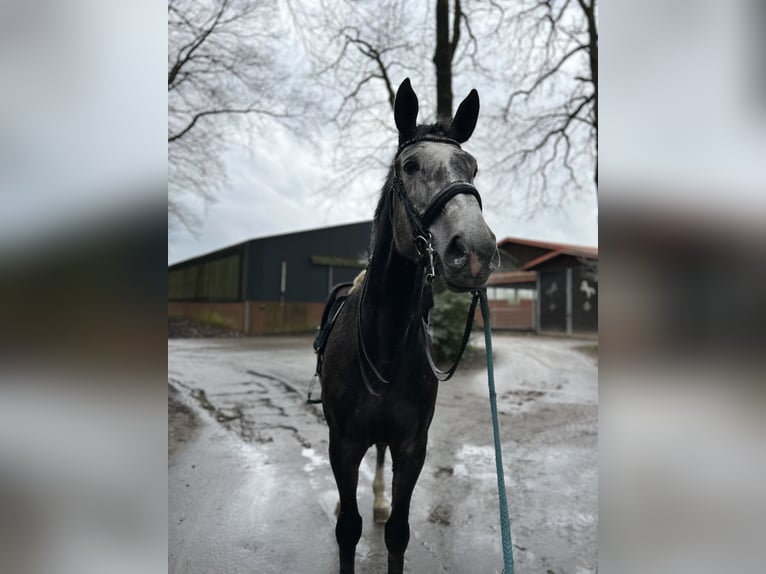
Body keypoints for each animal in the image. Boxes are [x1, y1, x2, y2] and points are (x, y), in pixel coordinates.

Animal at [320, 77, 500, 574]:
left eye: (472, 167)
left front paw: (387, 511)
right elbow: (348, 531)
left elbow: (398, 533)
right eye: (411, 165)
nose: (475, 251)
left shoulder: (412, 445)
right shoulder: (342, 443)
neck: (384, 340)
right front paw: (346, 513)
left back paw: (379, 501)